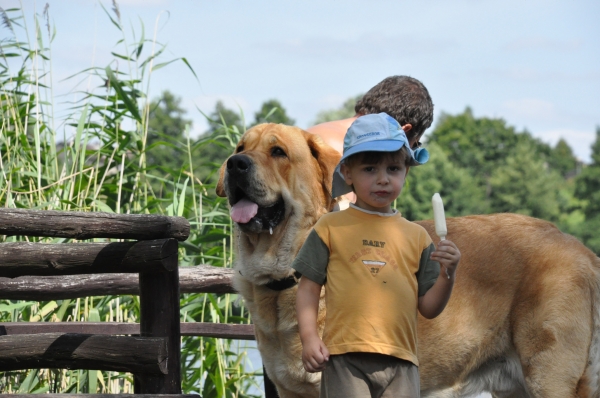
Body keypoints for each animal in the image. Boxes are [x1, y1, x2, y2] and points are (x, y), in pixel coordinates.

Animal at [217, 123, 600, 396]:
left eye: (278, 152)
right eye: (240, 148)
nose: (235, 164)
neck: (280, 279)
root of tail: (581, 249)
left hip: (549, 376)